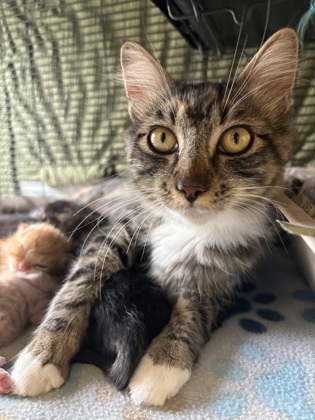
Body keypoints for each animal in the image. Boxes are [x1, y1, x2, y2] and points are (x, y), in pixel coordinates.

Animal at [9, 27, 298, 406]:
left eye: (237, 139)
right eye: (161, 138)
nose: (190, 188)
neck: (189, 230)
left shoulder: (226, 277)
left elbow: (195, 311)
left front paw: (162, 364)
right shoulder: (115, 231)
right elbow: (77, 287)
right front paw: (41, 356)